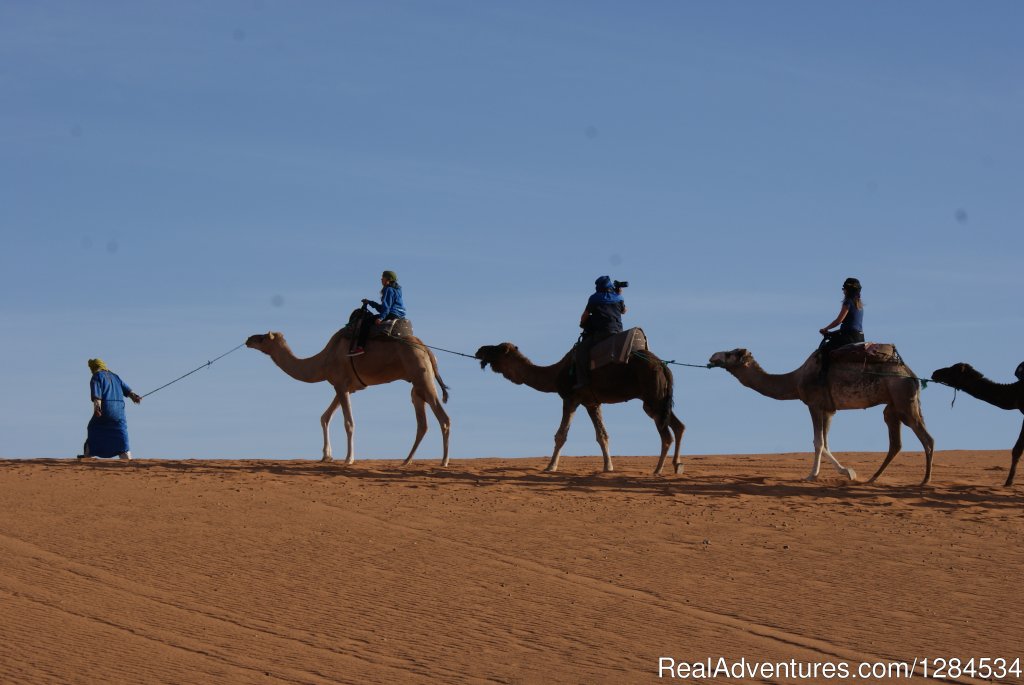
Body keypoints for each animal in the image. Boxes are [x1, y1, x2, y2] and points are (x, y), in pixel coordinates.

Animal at [245, 327, 450, 464]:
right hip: (417, 387)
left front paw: (348, 459)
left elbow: (348, 423)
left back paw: (444, 461)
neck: (322, 361)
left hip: (422, 377)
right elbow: (325, 417)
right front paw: (326, 455)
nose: (248, 339)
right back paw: (406, 461)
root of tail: (427, 349)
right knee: (422, 423)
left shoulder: (341, 385)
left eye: (262, 338)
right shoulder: (345, 387)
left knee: (444, 418)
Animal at [473, 341, 684, 475]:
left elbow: (561, 435)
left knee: (667, 435)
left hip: (652, 399)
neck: (555, 373)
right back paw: (677, 465)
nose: (479, 350)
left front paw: (550, 467)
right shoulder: (591, 402)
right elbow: (602, 435)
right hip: (660, 400)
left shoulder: (570, 397)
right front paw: (608, 467)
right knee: (679, 426)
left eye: (497, 349)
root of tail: (663, 367)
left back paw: (657, 470)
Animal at [712, 344, 937, 483]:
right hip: (893, 407)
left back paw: (925, 480)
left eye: (731, 353)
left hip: (903, 401)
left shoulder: (814, 404)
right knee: (896, 443)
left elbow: (817, 441)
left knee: (927, 438)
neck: (795, 380)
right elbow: (826, 442)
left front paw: (812, 475)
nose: (713, 356)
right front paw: (849, 472)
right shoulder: (830, 410)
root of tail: (913, 376)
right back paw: (873, 478)